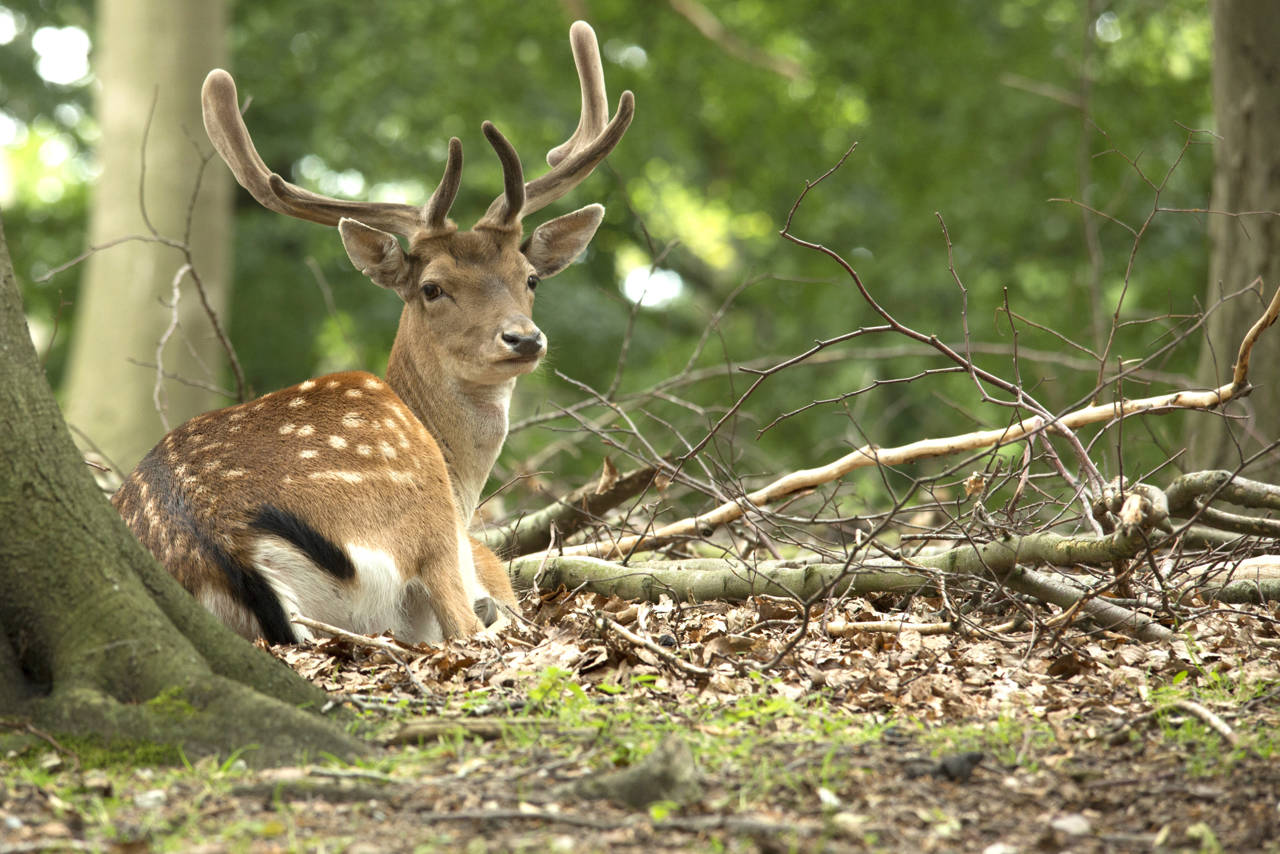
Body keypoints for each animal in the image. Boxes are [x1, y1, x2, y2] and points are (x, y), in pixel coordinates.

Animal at [110, 21, 634, 646]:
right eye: (432, 287)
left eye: (529, 278)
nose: (524, 339)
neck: (462, 478)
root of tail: (220, 542)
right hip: (421, 523)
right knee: (464, 627)